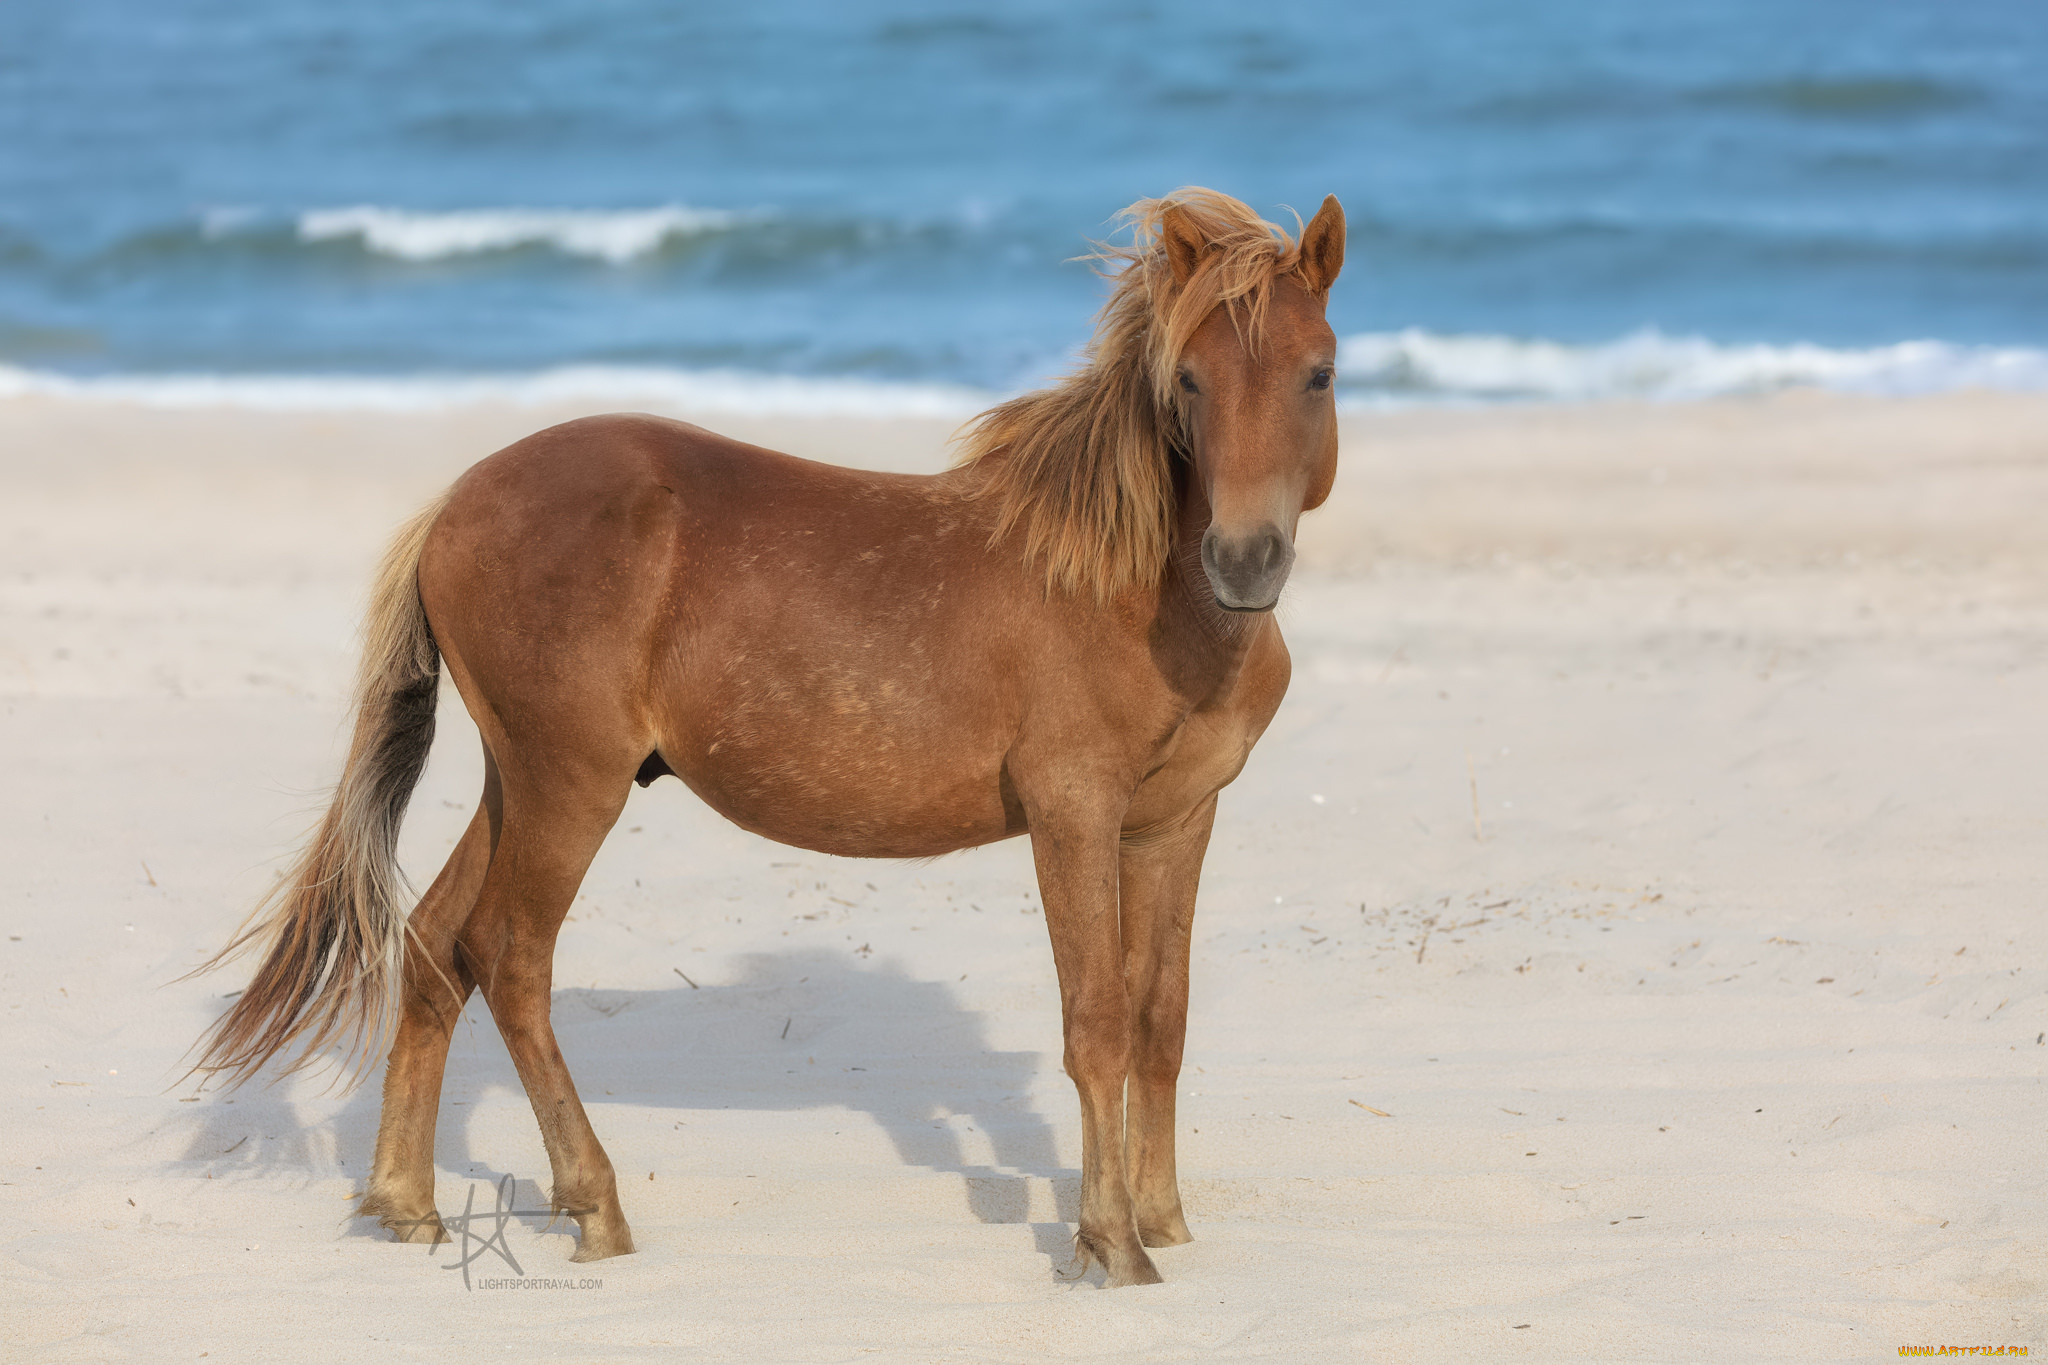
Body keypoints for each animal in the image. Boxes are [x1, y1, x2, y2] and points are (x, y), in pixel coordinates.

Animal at [190, 187, 1346, 1288]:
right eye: (1187, 381)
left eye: (1319, 375)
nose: (1243, 560)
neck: (1130, 589)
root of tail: (455, 504)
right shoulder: (1073, 814)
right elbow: (1096, 1023)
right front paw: (1111, 1243)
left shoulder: (1173, 824)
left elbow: (1161, 1021)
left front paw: (1162, 1218)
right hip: (571, 789)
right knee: (509, 958)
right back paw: (594, 1206)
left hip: (514, 783)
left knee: (433, 947)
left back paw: (408, 1204)